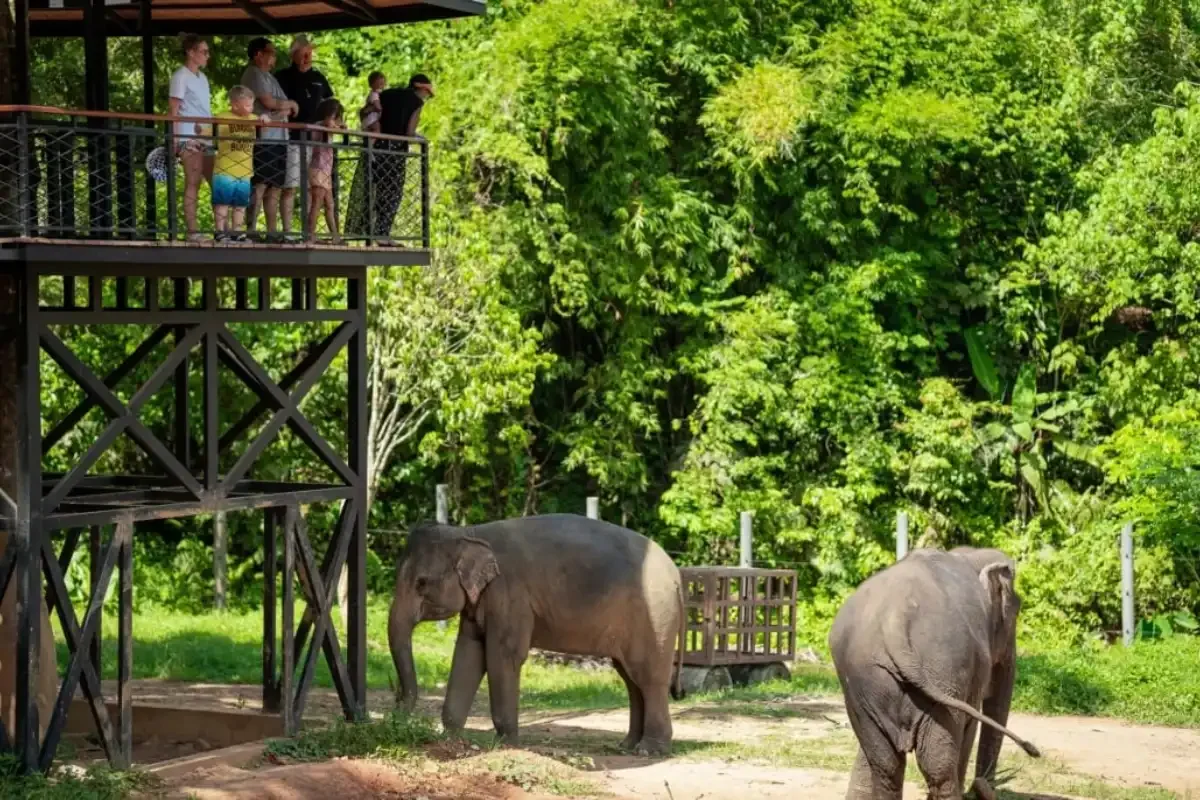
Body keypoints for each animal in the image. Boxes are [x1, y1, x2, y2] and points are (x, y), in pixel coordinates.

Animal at [387, 513, 685, 755]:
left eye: (422, 583)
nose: (398, 705)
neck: (468, 533)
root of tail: (677, 575)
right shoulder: (480, 602)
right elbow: (467, 653)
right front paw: (449, 740)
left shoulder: (510, 595)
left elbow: (502, 656)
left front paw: (505, 744)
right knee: (631, 679)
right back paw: (627, 746)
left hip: (655, 617)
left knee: (649, 679)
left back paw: (650, 750)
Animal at [828, 546, 1041, 800]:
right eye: (1015, 612)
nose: (1035, 751)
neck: (969, 554)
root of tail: (895, 623)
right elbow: (969, 729)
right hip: (943, 671)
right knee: (937, 767)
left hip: (867, 681)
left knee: (885, 764)